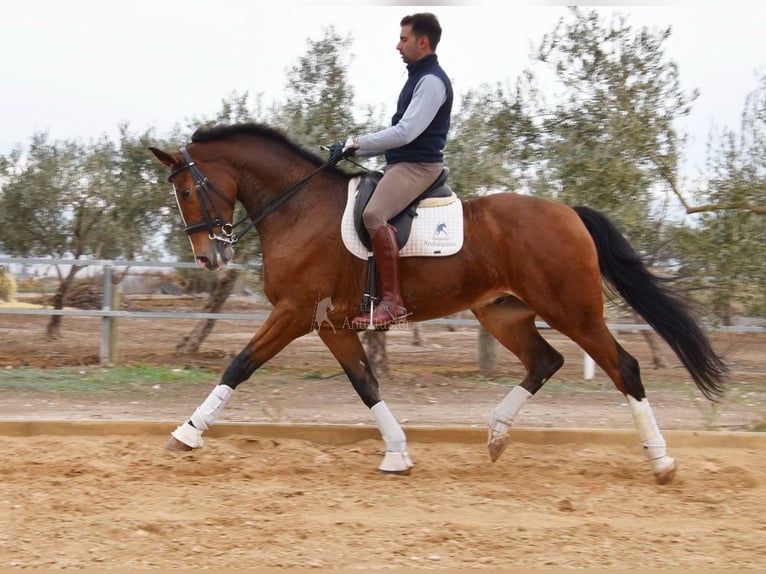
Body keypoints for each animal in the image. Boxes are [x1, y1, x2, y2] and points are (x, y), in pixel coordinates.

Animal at [148, 122, 728, 486]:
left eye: (185, 192)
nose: (209, 257)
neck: (299, 207)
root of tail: (569, 213)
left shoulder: (294, 312)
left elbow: (239, 365)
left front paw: (185, 434)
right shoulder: (331, 324)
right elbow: (366, 384)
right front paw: (398, 454)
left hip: (574, 311)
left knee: (623, 367)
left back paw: (661, 463)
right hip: (502, 312)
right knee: (545, 360)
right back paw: (495, 435)